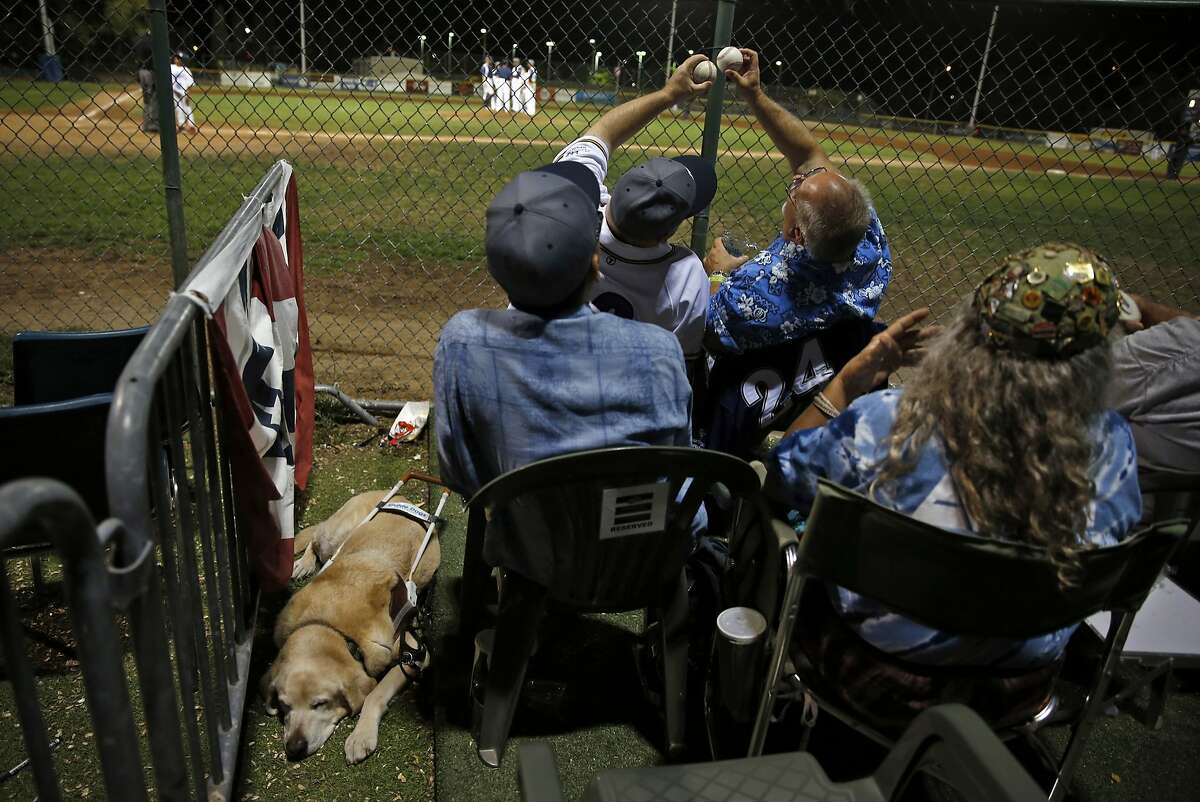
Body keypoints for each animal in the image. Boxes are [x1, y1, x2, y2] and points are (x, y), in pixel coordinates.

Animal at [262, 489, 441, 763]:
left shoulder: (413, 653)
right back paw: (304, 563)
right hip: (334, 535)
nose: (294, 748)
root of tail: (397, 495)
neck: (331, 628)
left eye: (320, 703)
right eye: (284, 705)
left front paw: (361, 736)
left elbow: (375, 694)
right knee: (315, 537)